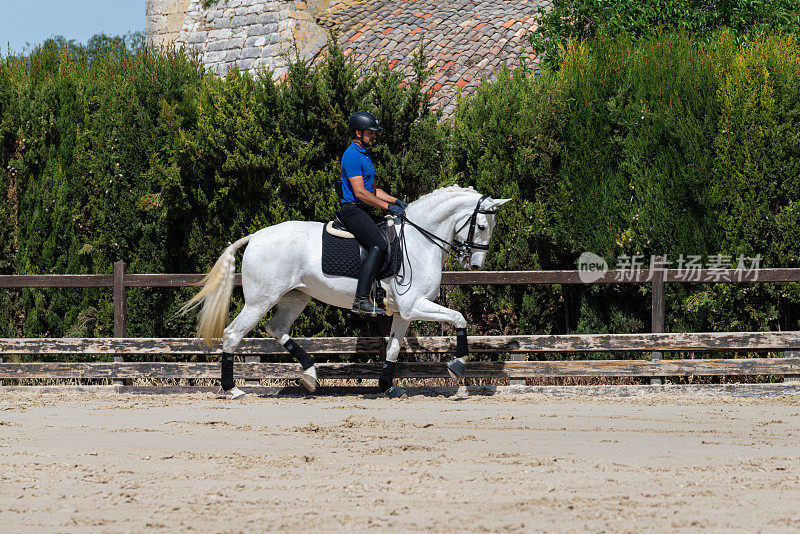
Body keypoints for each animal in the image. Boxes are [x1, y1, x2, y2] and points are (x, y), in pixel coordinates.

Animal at [179, 184, 510, 398]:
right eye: (482, 226)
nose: (476, 264)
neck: (419, 239)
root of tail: (256, 236)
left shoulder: (403, 311)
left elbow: (393, 348)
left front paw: (388, 387)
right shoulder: (414, 305)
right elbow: (459, 318)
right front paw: (457, 366)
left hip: (296, 297)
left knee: (277, 328)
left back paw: (310, 375)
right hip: (261, 300)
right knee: (234, 334)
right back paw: (232, 389)